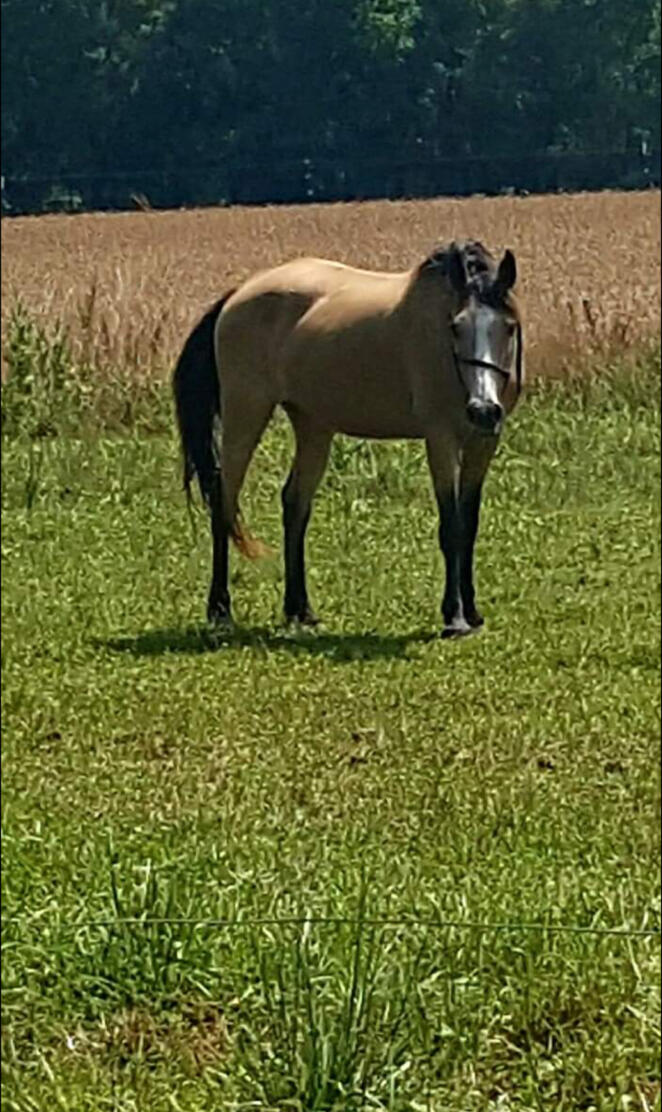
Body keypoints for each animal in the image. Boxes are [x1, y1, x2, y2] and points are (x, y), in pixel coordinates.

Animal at [173, 239, 523, 639]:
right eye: (456, 327)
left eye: (509, 327)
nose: (484, 409)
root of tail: (237, 295)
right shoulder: (441, 438)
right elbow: (451, 525)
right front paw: (455, 617)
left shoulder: (483, 442)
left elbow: (469, 525)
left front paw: (474, 613)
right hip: (245, 413)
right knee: (223, 500)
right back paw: (220, 610)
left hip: (312, 425)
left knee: (294, 504)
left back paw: (299, 610)